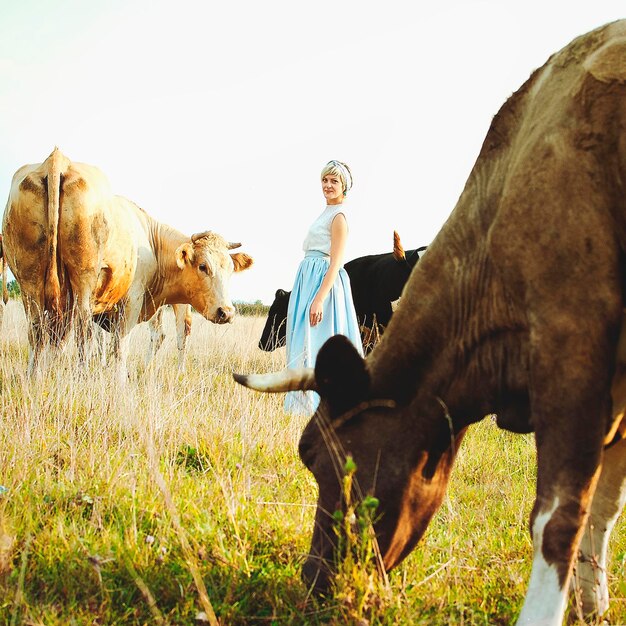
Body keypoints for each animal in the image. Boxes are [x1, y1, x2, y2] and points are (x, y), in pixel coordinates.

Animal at [3, 147, 251, 376]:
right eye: (203, 266)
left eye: (230, 269)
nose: (226, 312)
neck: (151, 241)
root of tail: (57, 160)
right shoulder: (132, 299)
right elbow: (119, 346)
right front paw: (120, 380)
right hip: (84, 282)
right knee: (84, 332)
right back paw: (81, 375)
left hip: (30, 281)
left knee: (38, 330)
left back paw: (34, 376)